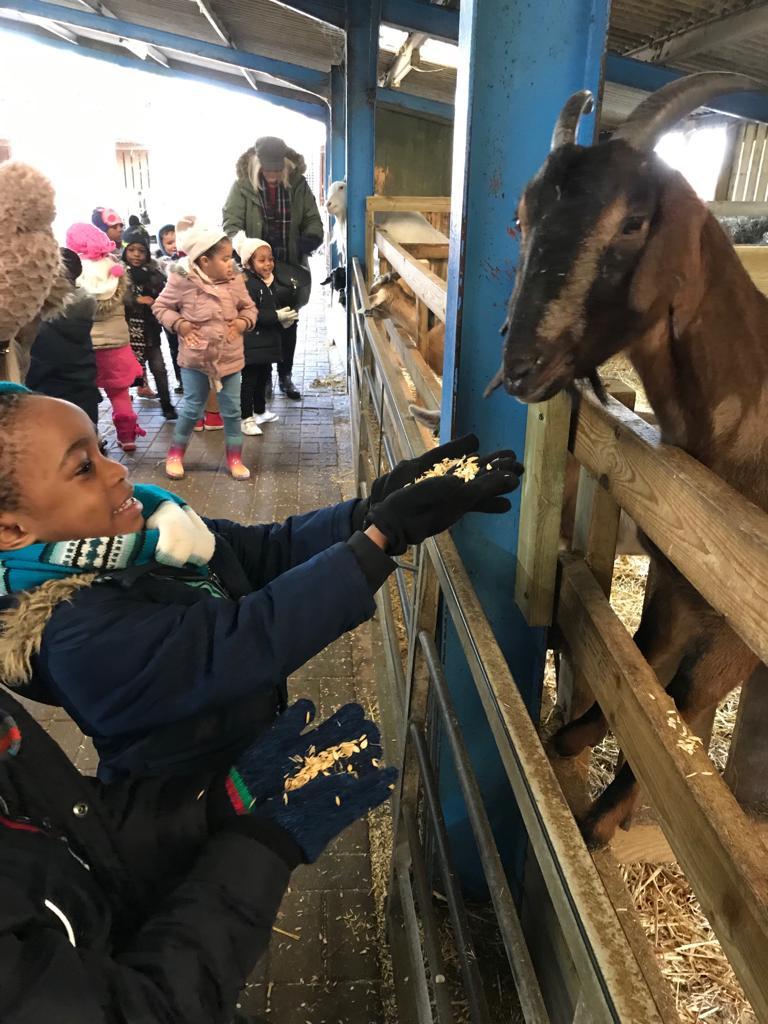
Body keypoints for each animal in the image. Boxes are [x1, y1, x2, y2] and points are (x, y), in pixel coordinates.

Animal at [486, 73, 768, 849]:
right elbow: (646, 663)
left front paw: (600, 822)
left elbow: (685, 700)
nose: (521, 367)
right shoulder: (680, 578)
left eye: (635, 220)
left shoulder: (745, 626)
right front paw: (572, 735)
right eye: (522, 220)